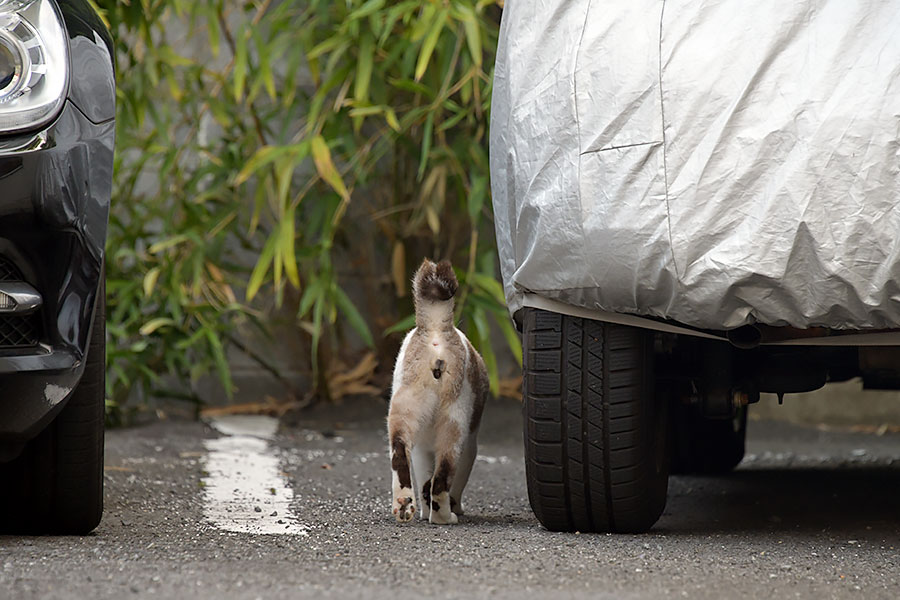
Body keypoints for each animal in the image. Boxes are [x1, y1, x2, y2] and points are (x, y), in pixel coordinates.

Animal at [384, 258, 488, 524]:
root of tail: (435, 330)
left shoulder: (421, 450)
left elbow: (424, 480)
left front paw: (422, 508)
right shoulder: (469, 447)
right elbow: (450, 482)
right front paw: (450, 508)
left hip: (405, 409)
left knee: (399, 455)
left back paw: (404, 506)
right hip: (455, 421)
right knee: (443, 477)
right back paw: (445, 517)